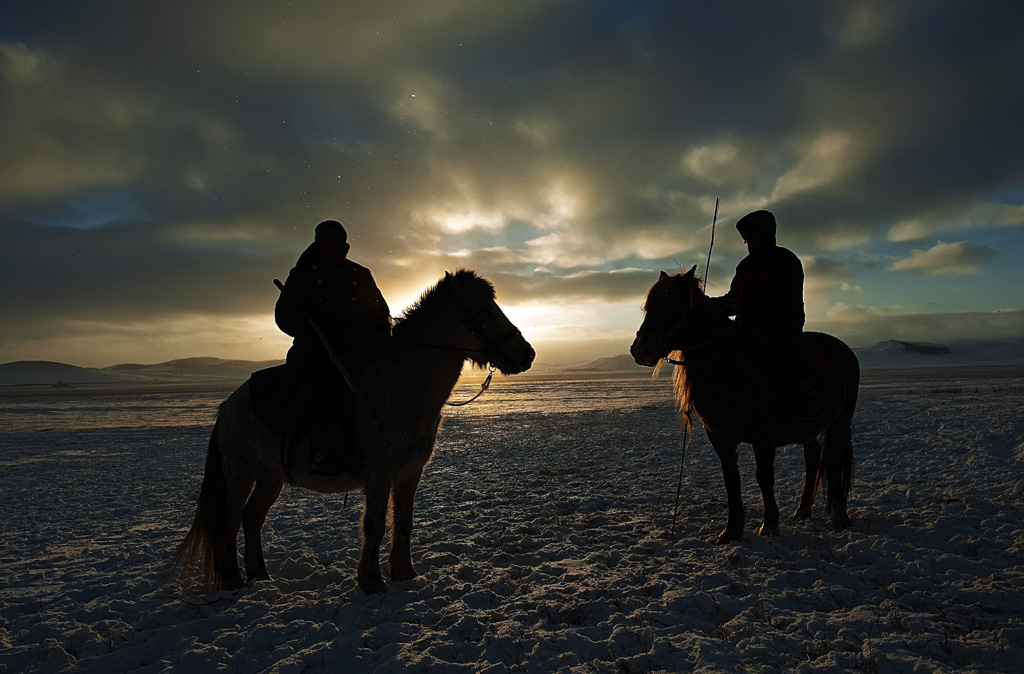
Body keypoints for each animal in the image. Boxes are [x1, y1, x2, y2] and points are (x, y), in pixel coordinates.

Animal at [169, 270, 536, 590]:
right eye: (485, 312)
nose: (527, 354)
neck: (400, 388)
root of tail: (229, 405)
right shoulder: (379, 473)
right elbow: (374, 524)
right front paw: (371, 581)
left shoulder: (409, 472)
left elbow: (404, 521)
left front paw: (405, 573)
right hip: (240, 471)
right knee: (229, 522)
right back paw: (233, 580)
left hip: (270, 474)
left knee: (252, 518)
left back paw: (260, 575)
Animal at [630, 264, 856, 544]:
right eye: (648, 306)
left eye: (670, 304)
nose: (640, 350)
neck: (728, 365)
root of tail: (843, 349)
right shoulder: (718, 434)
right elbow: (731, 478)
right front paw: (732, 530)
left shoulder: (762, 432)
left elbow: (764, 475)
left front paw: (770, 524)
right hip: (809, 428)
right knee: (813, 457)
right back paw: (803, 509)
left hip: (840, 422)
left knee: (834, 460)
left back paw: (839, 515)